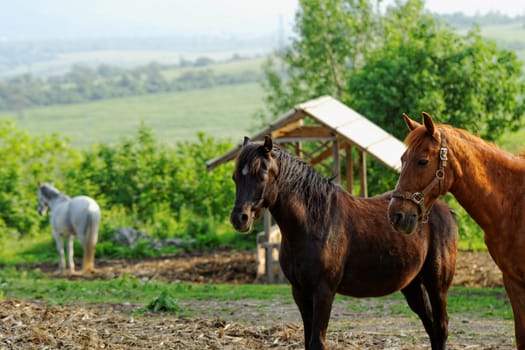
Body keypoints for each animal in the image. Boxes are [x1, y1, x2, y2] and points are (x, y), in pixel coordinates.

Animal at [231, 135, 456, 348]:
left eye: (261, 176)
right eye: (235, 177)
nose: (239, 218)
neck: (314, 222)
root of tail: (444, 210)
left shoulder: (323, 293)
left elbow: (317, 342)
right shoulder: (300, 292)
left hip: (437, 284)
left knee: (441, 328)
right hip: (412, 285)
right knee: (431, 328)